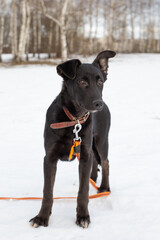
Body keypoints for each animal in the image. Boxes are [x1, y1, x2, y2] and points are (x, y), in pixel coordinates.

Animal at [29, 49, 115, 228]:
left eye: (100, 82)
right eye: (82, 82)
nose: (99, 104)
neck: (74, 119)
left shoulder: (84, 154)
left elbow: (83, 192)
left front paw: (83, 216)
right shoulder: (49, 158)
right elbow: (47, 192)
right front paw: (42, 217)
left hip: (101, 140)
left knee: (105, 162)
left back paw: (104, 186)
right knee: (95, 161)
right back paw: (92, 178)